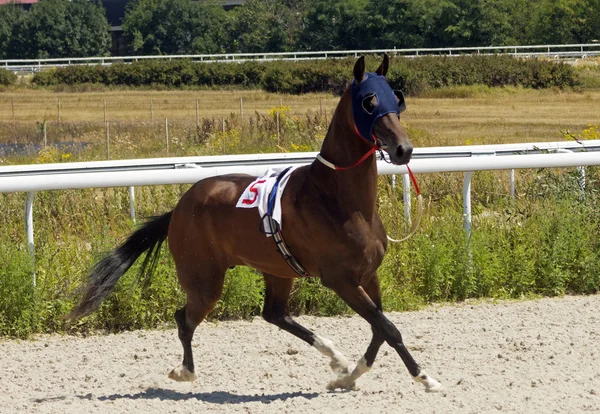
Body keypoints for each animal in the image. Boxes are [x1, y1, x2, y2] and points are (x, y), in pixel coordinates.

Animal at [71, 54, 446, 392]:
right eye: (369, 102)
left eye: (397, 98)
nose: (403, 149)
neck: (341, 201)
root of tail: (178, 209)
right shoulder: (341, 279)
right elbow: (388, 328)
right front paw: (426, 379)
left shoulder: (368, 274)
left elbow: (379, 329)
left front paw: (347, 376)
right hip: (204, 279)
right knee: (185, 318)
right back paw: (185, 371)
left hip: (277, 270)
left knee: (274, 314)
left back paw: (335, 357)